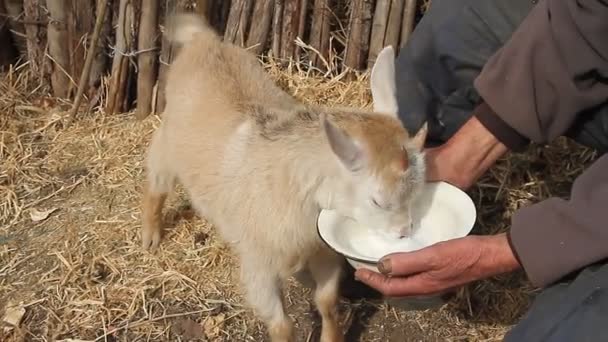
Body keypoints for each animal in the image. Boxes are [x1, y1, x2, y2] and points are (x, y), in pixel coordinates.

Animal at [141, 13, 428, 342]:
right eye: (378, 201)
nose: (404, 233)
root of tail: (204, 40)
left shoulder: (323, 250)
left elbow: (326, 301)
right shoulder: (258, 263)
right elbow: (281, 326)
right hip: (168, 140)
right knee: (157, 180)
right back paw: (150, 234)